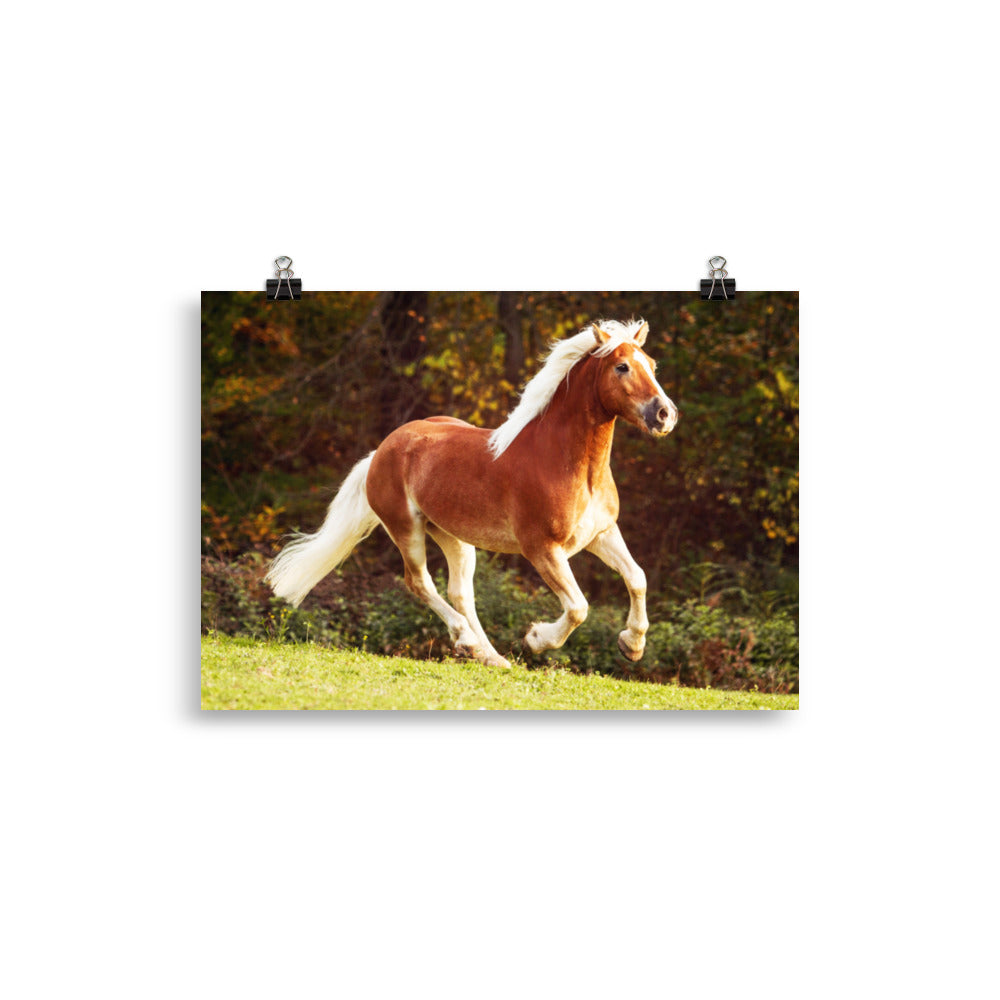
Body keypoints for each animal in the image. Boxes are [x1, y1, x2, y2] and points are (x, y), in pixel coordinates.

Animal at [265, 318, 679, 668]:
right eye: (622, 367)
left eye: (652, 364)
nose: (665, 415)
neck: (566, 463)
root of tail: (383, 449)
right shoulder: (542, 549)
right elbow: (578, 607)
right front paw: (535, 639)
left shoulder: (601, 534)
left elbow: (637, 578)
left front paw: (632, 645)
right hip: (406, 528)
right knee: (420, 582)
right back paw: (467, 641)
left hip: (454, 536)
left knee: (461, 592)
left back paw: (489, 655)